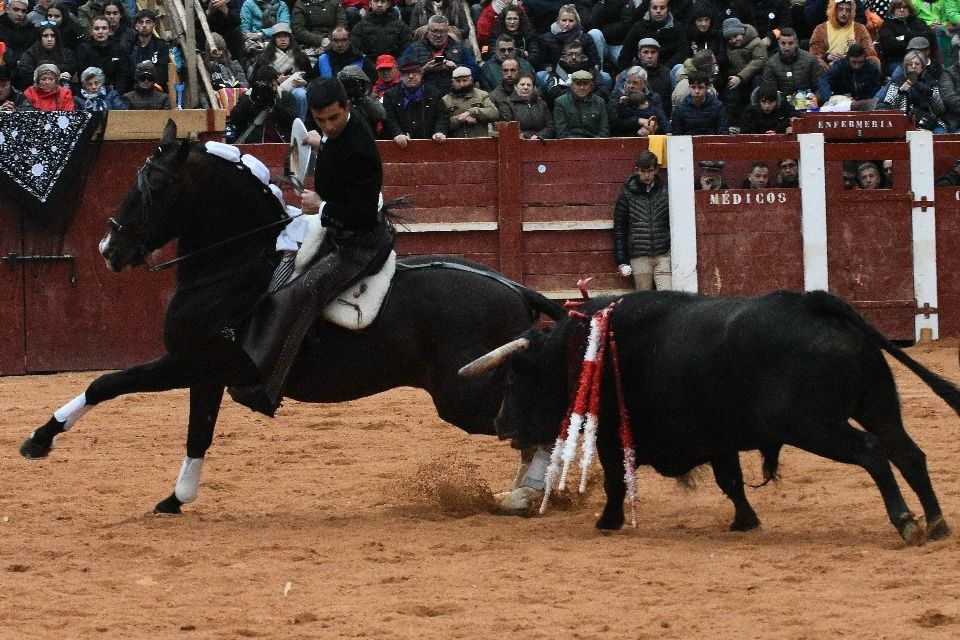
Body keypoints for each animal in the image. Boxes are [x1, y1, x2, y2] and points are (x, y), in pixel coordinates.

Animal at [20, 121, 564, 516]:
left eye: (153, 185)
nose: (108, 248)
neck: (238, 263)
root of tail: (518, 290)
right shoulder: (205, 372)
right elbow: (186, 426)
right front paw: (174, 499)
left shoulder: (193, 362)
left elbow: (111, 385)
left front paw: (40, 440)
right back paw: (532, 492)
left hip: (462, 395)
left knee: (536, 424)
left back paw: (528, 492)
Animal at [464, 290, 960, 544]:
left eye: (514, 380)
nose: (501, 425)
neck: (584, 351)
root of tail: (817, 303)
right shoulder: (719, 438)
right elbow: (731, 481)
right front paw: (745, 521)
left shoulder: (611, 438)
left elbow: (616, 481)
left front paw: (608, 521)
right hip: (879, 406)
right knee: (908, 453)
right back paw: (936, 523)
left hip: (816, 426)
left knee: (874, 453)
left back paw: (906, 521)